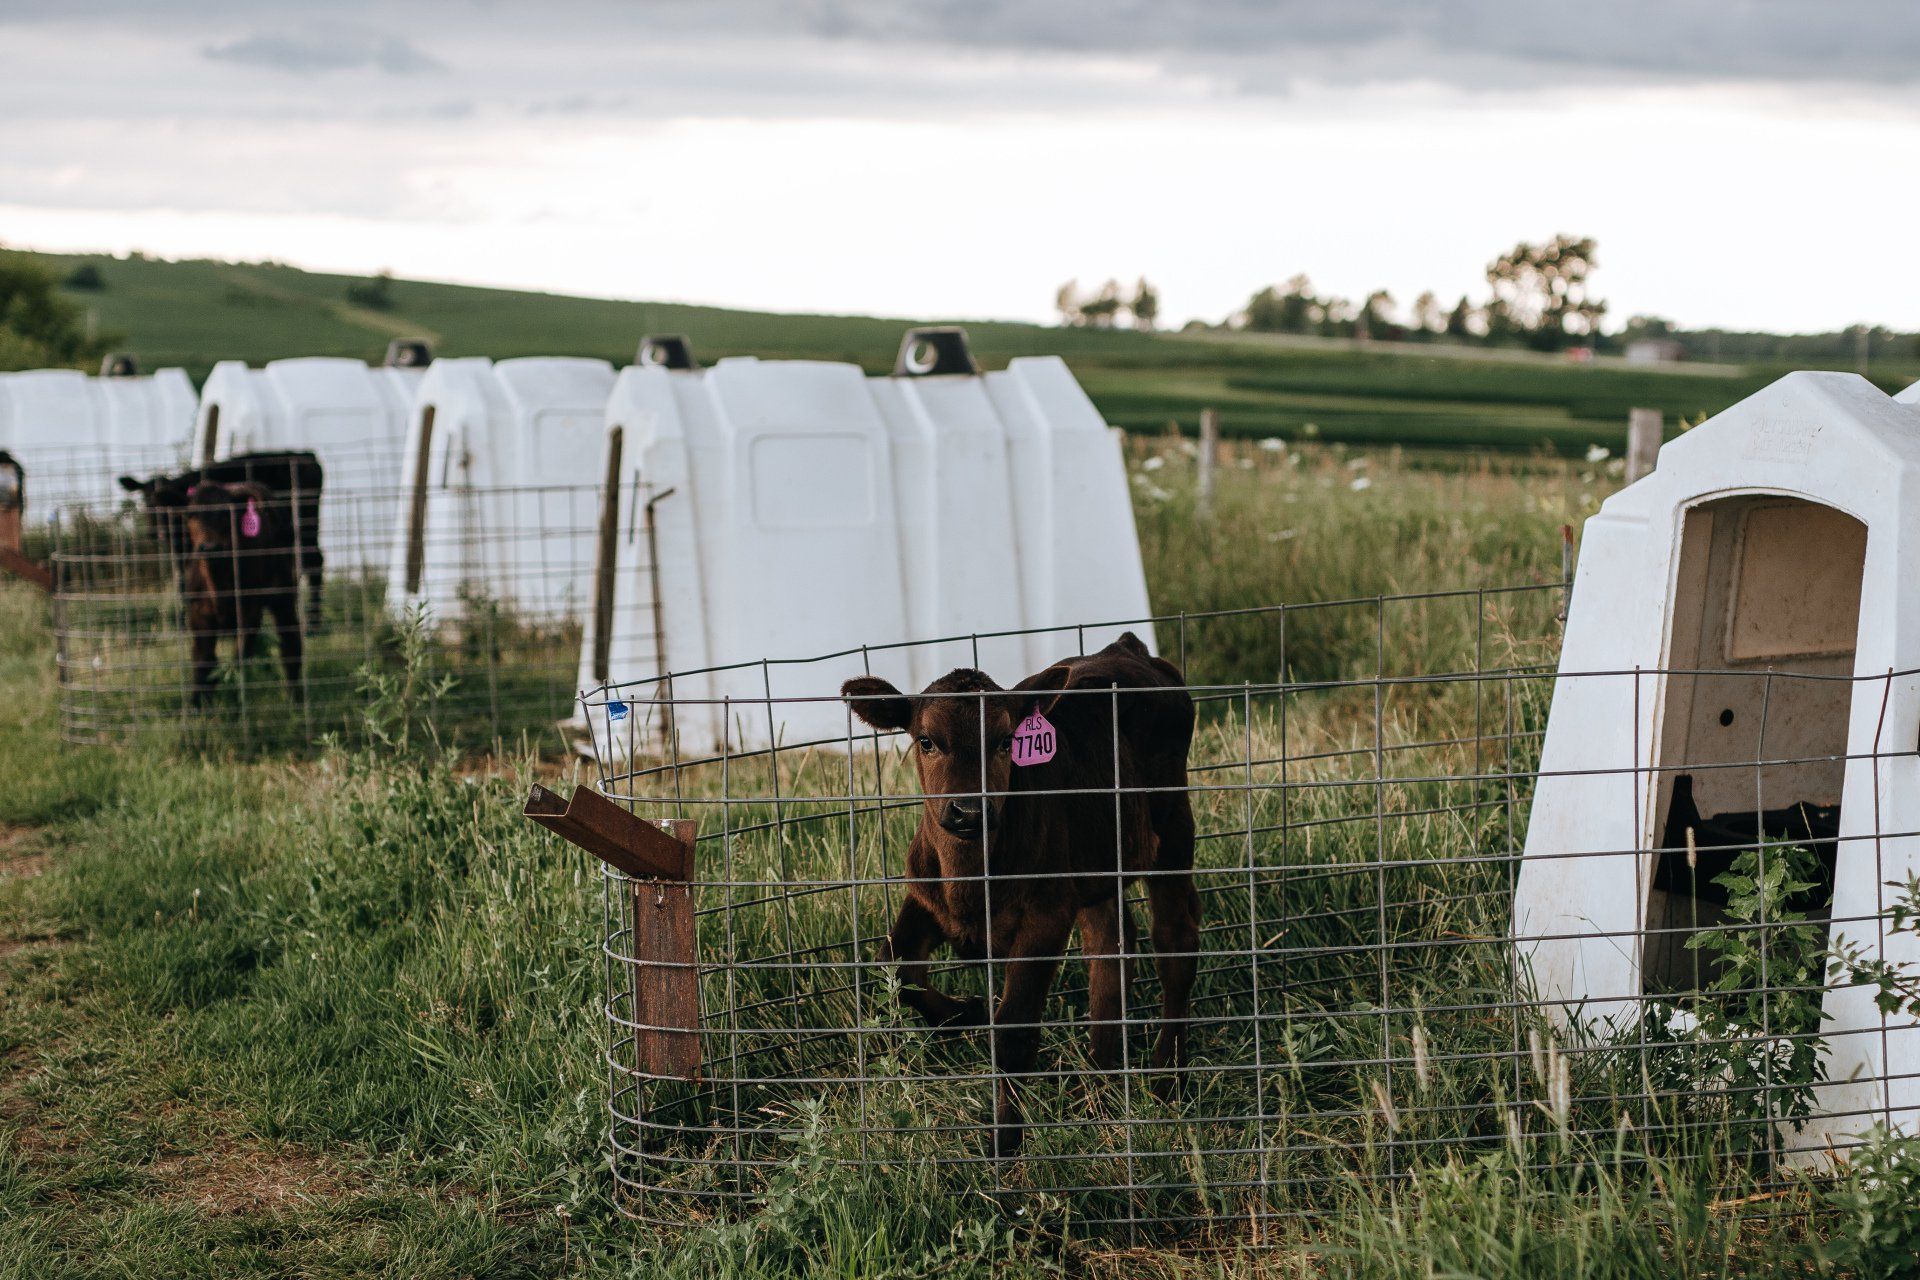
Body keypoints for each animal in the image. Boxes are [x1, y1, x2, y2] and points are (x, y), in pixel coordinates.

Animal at [119, 452, 324, 617]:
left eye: (159, 503)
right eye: (145, 500)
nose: (156, 532)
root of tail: (307, 456)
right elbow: (182, 581)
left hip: (306, 527)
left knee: (314, 562)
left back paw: (313, 624)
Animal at [175, 479, 305, 707]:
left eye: (225, 513)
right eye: (191, 515)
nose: (210, 547)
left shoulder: (250, 612)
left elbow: (238, 661)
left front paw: (235, 703)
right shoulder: (199, 613)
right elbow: (203, 659)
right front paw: (198, 704)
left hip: (284, 596)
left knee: (291, 644)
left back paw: (294, 700)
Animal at [841, 632, 1198, 1157]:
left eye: (1006, 741)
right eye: (926, 740)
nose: (969, 810)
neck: (971, 883)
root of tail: (1126, 647)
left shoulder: (1045, 914)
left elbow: (1012, 1029)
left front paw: (1004, 1142)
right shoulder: (927, 897)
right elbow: (894, 965)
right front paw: (964, 1012)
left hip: (1172, 825)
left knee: (1175, 943)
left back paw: (1166, 1078)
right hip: (1096, 863)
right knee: (1111, 948)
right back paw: (1100, 1082)